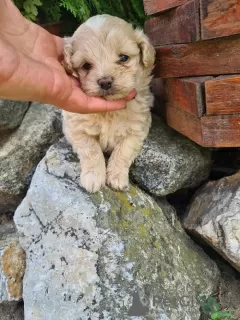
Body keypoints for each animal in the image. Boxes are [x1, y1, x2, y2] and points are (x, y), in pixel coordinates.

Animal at [62, 14, 155, 192]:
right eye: (86, 65)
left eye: (123, 58)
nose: (105, 82)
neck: (109, 112)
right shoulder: (76, 127)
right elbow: (90, 150)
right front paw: (93, 177)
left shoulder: (137, 128)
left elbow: (123, 151)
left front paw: (117, 178)